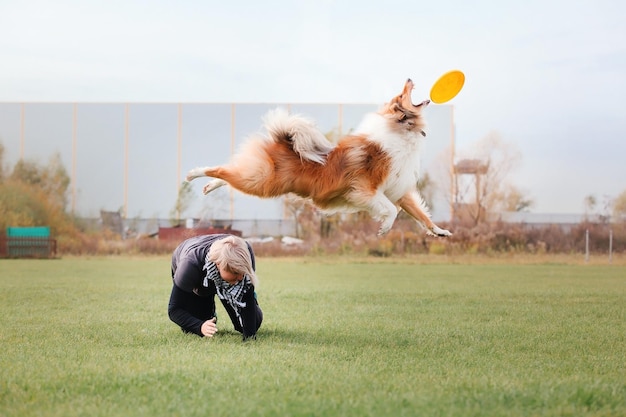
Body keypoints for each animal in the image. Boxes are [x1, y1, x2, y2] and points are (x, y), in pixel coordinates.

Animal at [184, 77, 448, 236]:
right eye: (401, 96)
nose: (409, 78)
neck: (401, 129)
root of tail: (283, 139)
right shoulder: (366, 190)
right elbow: (391, 210)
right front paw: (384, 228)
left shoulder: (398, 189)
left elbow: (420, 214)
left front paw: (439, 231)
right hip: (263, 181)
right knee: (222, 170)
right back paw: (193, 174)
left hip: (258, 178)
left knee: (230, 172)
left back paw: (208, 185)